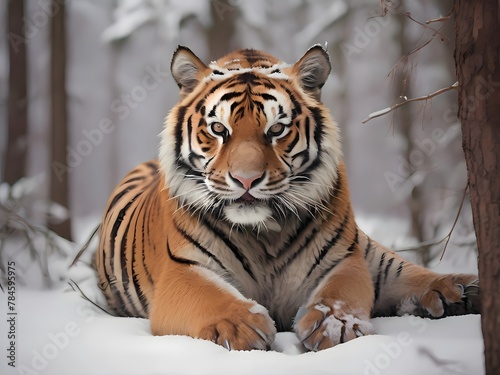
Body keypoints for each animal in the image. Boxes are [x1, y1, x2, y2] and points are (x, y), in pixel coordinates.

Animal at [94, 44, 480, 352]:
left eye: (276, 129)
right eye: (219, 129)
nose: (246, 179)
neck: (263, 234)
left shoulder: (342, 258)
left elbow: (342, 290)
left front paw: (335, 324)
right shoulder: (182, 270)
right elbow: (209, 295)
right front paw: (241, 324)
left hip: (367, 249)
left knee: (403, 270)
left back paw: (461, 289)